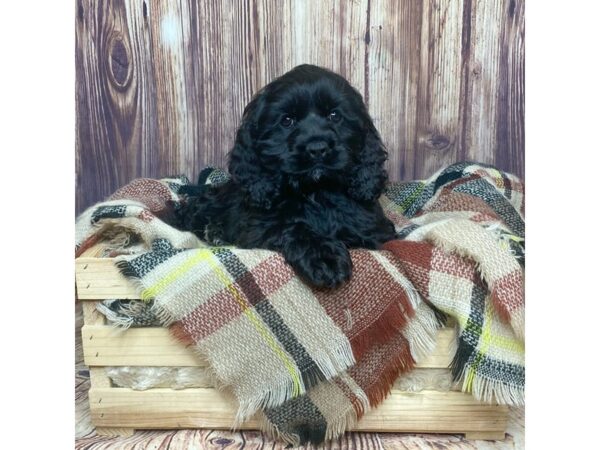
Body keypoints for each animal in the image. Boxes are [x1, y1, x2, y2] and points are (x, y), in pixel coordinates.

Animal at [178, 63, 398, 288]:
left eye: (335, 116)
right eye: (287, 121)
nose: (317, 149)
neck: (314, 191)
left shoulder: (375, 229)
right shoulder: (258, 228)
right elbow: (294, 226)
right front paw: (325, 258)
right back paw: (214, 231)